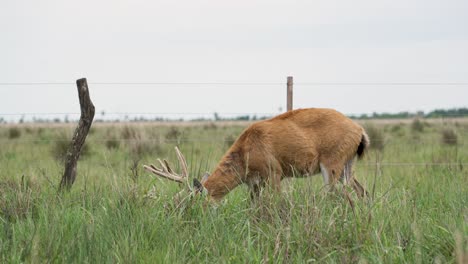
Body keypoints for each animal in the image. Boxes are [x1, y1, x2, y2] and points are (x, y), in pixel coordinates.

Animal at [144, 108, 372, 201]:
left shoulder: (275, 173)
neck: (246, 153)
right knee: (361, 191)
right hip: (347, 165)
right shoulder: (254, 183)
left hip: (332, 163)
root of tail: (360, 130)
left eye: (188, 203)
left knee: (334, 195)